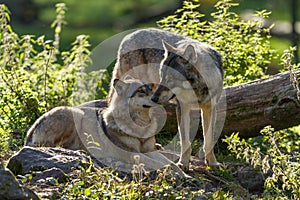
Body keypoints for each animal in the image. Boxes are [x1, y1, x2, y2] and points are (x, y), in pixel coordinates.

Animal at [25, 77, 188, 177]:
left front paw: (184, 174)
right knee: (58, 146)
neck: (140, 124)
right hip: (75, 113)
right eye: (141, 91)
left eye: (150, 89)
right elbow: (159, 164)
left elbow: (170, 163)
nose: (156, 98)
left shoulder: (149, 151)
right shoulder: (133, 154)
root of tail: (29, 134)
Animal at [108, 27, 223, 169]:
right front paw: (183, 163)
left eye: (170, 79)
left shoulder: (210, 108)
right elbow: (185, 141)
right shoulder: (182, 108)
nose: (154, 98)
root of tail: (128, 36)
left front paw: (212, 163)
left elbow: (209, 141)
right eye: (162, 76)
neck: (198, 88)